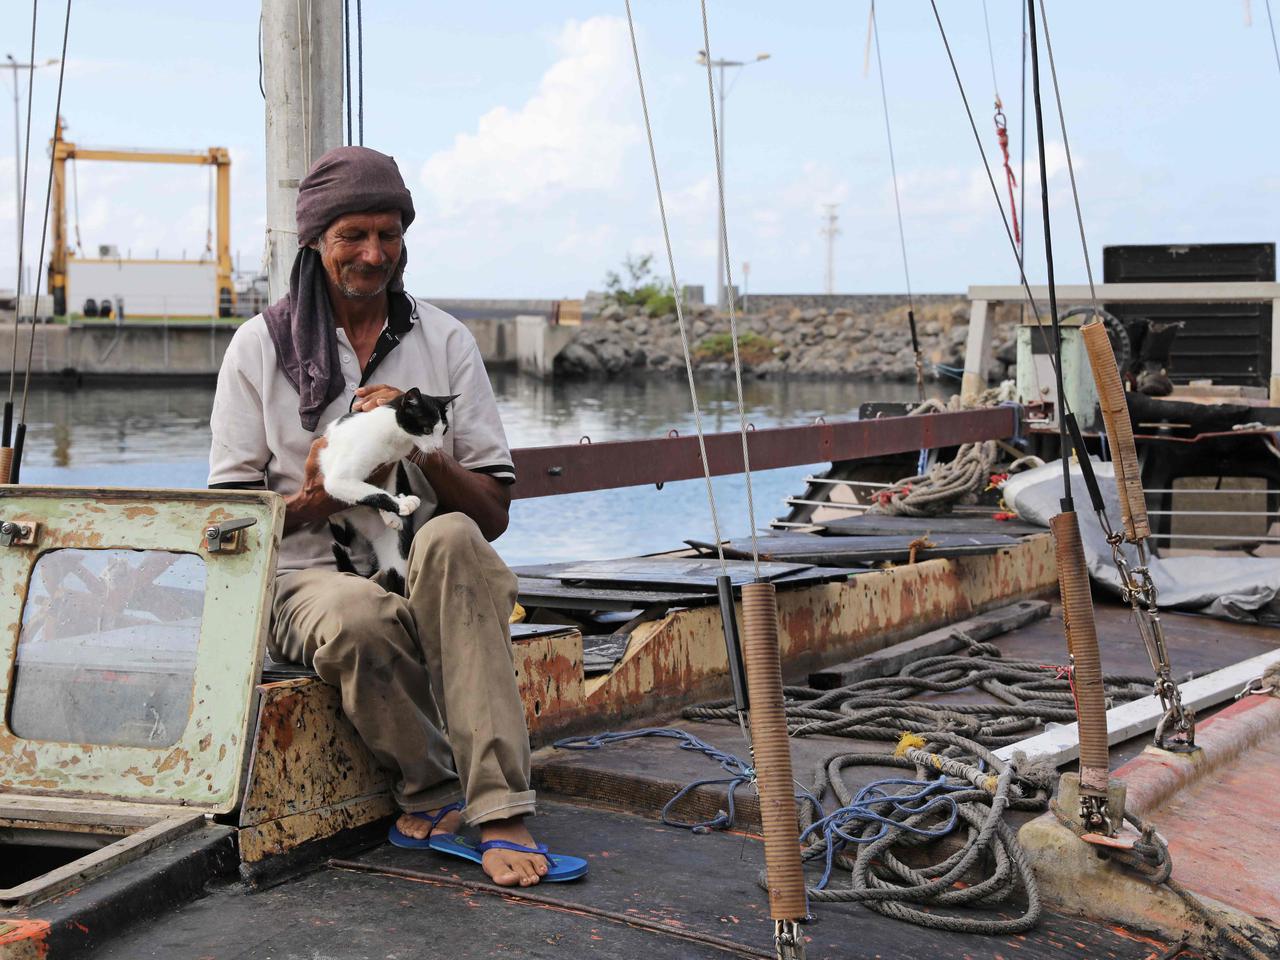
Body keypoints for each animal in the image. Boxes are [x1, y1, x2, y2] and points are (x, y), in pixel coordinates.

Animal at [322, 389, 458, 586]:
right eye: (427, 429)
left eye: (444, 431)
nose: (438, 448)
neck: (395, 437)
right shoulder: (338, 479)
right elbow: (373, 492)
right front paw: (402, 504)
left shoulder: (390, 467)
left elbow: (383, 488)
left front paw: (393, 514)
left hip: (395, 557)